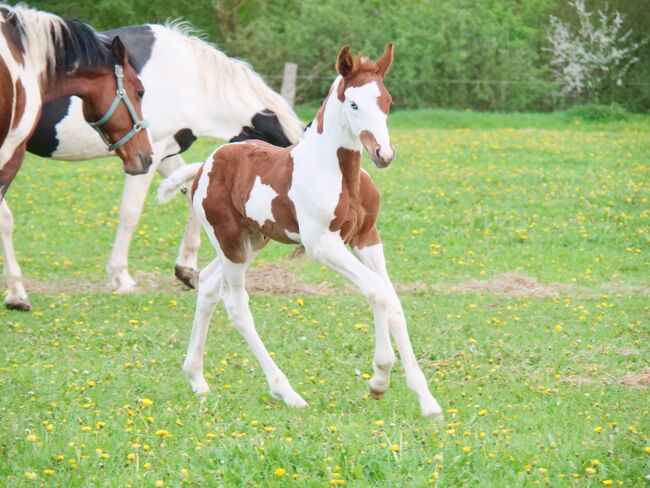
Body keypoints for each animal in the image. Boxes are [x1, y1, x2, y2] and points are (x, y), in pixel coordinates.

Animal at [158, 43, 440, 420]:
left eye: (387, 101)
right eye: (353, 104)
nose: (384, 154)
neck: (339, 174)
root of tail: (204, 165)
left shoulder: (367, 238)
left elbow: (389, 298)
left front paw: (411, 393)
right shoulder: (322, 244)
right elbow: (377, 291)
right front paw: (386, 380)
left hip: (249, 241)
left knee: (207, 284)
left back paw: (197, 380)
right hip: (229, 240)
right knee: (235, 304)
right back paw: (286, 392)